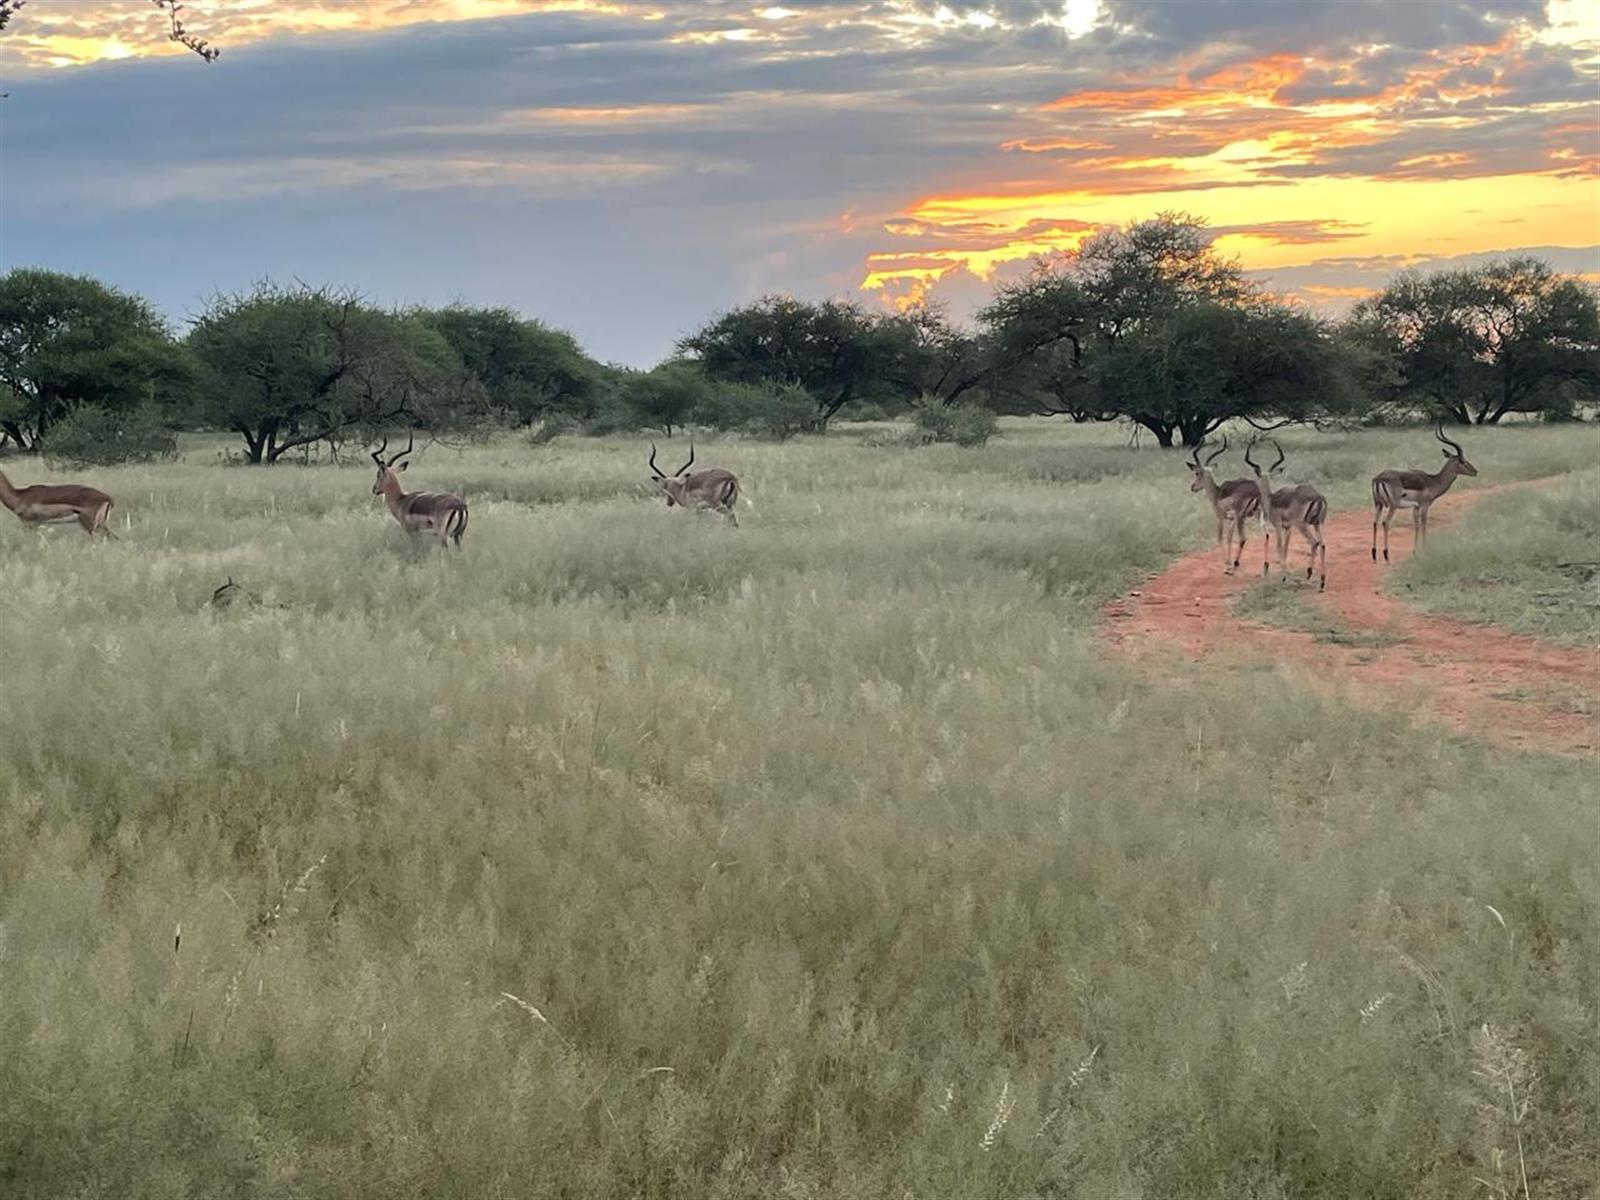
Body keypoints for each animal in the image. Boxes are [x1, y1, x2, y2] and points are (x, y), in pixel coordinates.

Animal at [1187, 434, 1261, 574]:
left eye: (1197, 473)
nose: (1193, 487)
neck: (1217, 493)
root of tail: (1256, 490)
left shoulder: (1221, 517)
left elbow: (1220, 539)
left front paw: (1227, 565)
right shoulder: (1231, 519)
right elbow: (1229, 539)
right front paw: (1229, 562)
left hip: (1241, 518)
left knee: (1243, 538)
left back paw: (1234, 567)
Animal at [1244, 438, 1327, 591]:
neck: (1271, 499)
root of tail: (1318, 497)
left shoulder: (1278, 526)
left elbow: (1279, 547)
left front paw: (1284, 577)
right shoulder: (1288, 528)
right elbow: (1285, 548)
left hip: (1302, 525)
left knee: (1314, 542)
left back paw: (1309, 574)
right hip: (1318, 524)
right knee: (1323, 544)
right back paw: (1322, 581)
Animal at [1370, 424, 1478, 561]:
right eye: (1462, 461)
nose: (1475, 471)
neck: (1433, 481)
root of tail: (1379, 478)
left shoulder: (1415, 507)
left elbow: (1416, 525)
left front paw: (1415, 551)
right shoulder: (1425, 505)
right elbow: (1424, 524)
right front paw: (1425, 549)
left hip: (1378, 504)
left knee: (1375, 523)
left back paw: (1374, 554)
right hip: (1392, 506)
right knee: (1385, 523)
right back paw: (1386, 555)